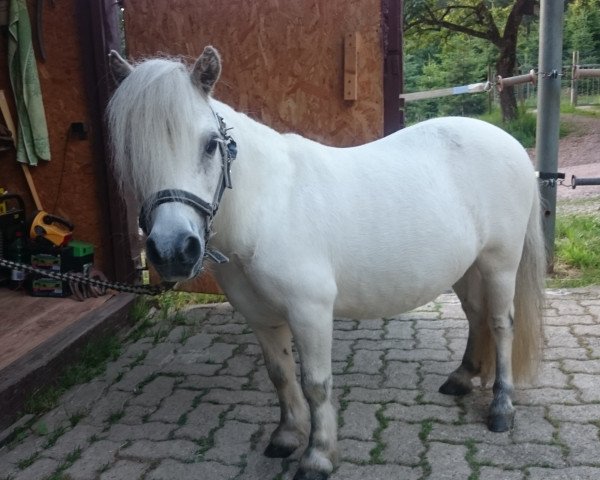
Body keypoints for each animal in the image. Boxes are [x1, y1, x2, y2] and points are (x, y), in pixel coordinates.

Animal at [106, 46, 544, 480]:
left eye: (211, 144)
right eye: (130, 152)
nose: (174, 251)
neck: (267, 208)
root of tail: (509, 143)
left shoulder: (310, 312)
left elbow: (315, 383)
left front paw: (317, 456)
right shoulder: (259, 316)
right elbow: (280, 375)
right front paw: (287, 436)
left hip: (499, 264)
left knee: (501, 325)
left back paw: (501, 408)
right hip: (467, 268)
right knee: (476, 316)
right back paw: (462, 378)